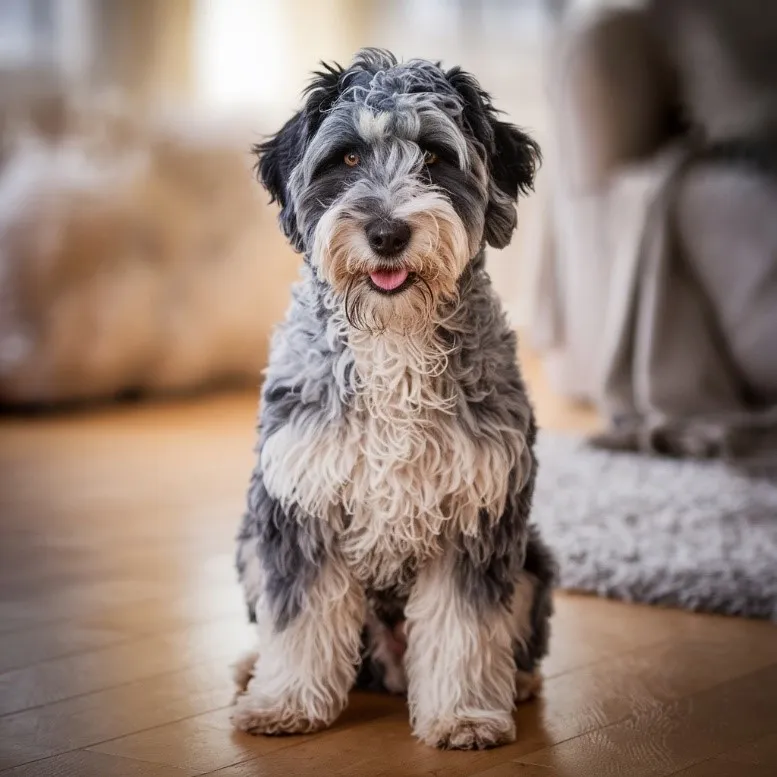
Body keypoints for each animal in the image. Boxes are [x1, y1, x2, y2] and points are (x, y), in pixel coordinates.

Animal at [233, 50, 556, 752]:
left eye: (434, 155)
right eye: (347, 157)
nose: (386, 233)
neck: (393, 340)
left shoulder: (476, 514)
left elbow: (465, 630)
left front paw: (464, 714)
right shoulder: (300, 506)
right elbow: (297, 619)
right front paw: (285, 702)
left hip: (532, 560)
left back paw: (515, 683)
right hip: (250, 539)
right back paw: (251, 666)